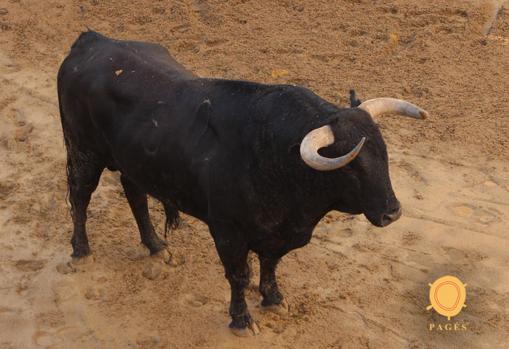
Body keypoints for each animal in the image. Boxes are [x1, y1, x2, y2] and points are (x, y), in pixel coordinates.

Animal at [57, 31, 426, 334]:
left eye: (384, 154)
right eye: (351, 167)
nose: (392, 212)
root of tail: (92, 40)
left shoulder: (275, 233)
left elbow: (271, 263)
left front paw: (273, 298)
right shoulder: (227, 231)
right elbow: (238, 274)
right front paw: (241, 319)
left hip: (132, 161)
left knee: (135, 194)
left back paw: (156, 246)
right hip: (83, 151)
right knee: (79, 196)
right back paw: (82, 250)